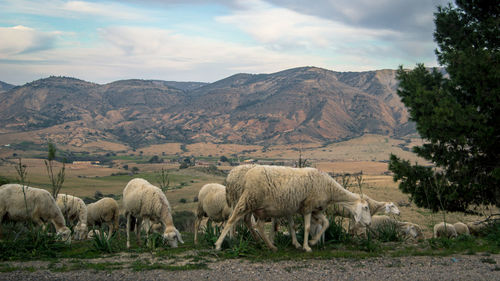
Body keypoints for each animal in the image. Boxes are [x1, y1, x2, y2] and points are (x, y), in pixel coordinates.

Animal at [215, 164, 372, 252]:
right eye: (365, 207)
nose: (369, 223)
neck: (329, 188)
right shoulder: (308, 207)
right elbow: (307, 227)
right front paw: (306, 246)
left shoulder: (314, 209)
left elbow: (326, 223)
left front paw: (312, 241)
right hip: (247, 199)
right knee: (232, 220)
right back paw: (219, 244)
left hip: (259, 208)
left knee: (255, 224)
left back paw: (268, 245)